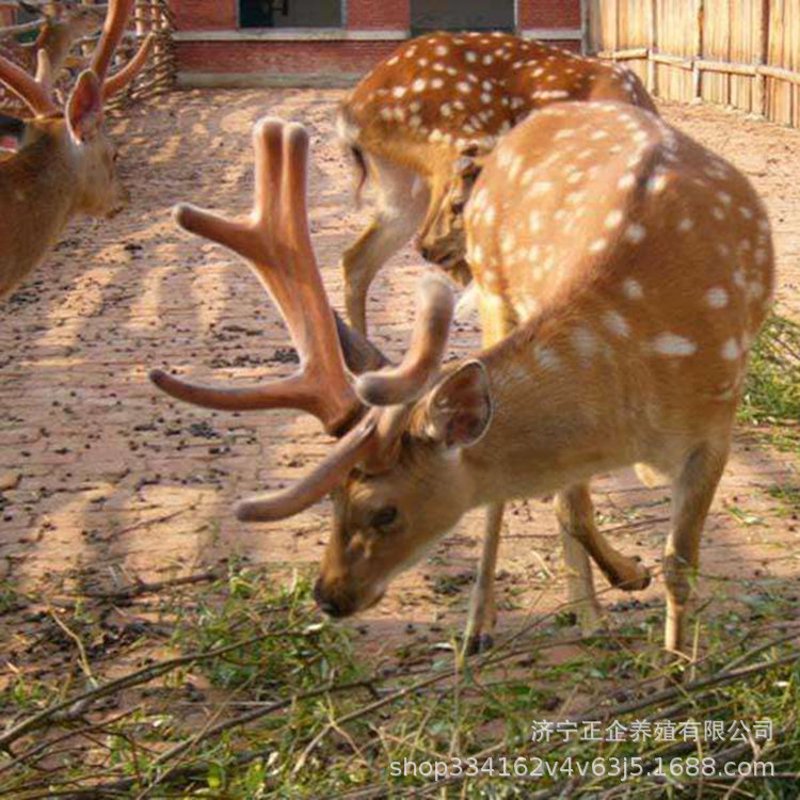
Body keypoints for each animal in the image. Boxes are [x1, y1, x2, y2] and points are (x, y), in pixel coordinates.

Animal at [150, 110, 773, 666]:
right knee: (527, 501)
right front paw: (631, 586)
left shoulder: (717, 426)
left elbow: (679, 566)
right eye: (331, 499)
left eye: (384, 512)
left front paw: (678, 667)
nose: (327, 596)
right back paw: (486, 624)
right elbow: (572, 508)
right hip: (495, 285)